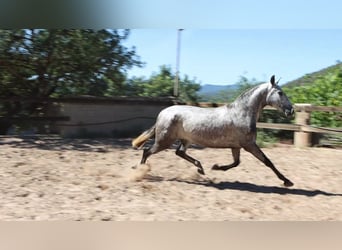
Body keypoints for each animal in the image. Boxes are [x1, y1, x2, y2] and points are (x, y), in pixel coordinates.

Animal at [132, 75, 296, 187]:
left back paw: (200, 168)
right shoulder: (249, 145)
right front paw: (287, 181)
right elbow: (268, 161)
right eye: (280, 93)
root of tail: (162, 113)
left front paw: (216, 167)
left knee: (179, 152)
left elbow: (236, 163)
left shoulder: (236, 146)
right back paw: (139, 172)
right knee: (147, 151)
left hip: (185, 140)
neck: (241, 113)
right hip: (164, 141)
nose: (291, 111)